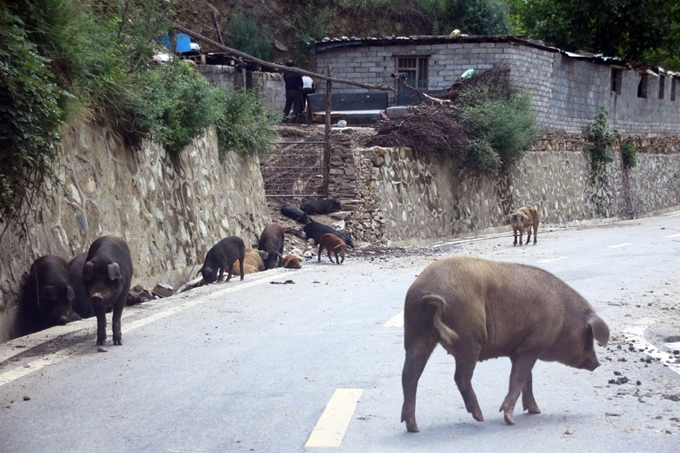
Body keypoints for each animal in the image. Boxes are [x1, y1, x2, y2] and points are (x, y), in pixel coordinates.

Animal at [402, 258, 608, 430]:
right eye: (589, 337)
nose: (598, 363)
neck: (564, 319)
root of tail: (428, 290)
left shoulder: (519, 350)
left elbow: (527, 379)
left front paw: (535, 410)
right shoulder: (532, 346)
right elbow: (518, 379)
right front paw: (510, 419)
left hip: (415, 333)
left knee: (409, 375)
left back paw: (413, 427)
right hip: (468, 337)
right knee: (459, 376)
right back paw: (480, 417)